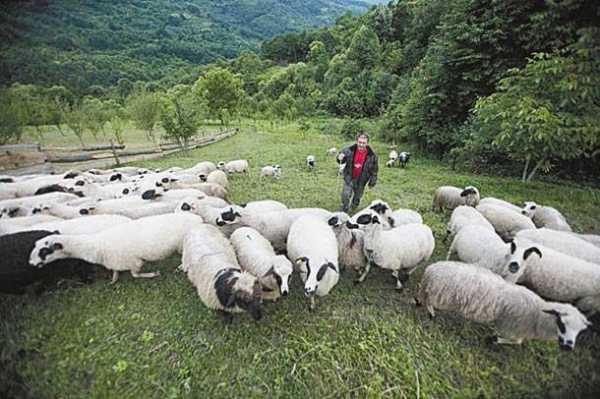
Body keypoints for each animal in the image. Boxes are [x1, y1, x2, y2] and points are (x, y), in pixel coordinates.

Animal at [29, 214, 204, 282]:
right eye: (35, 245)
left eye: (45, 251)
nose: (31, 264)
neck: (96, 244)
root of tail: (197, 218)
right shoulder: (116, 262)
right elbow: (116, 271)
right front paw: (113, 280)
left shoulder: (134, 262)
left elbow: (135, 275)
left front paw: (153, 274)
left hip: (184, 246)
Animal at [418, 260, 592, 348]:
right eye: (562, 323)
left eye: (580, 331)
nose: (568, 346)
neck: (538, 313)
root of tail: (431, 269)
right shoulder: (511, 327)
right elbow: (516, 341)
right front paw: (493, 339)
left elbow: (518, 341)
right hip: (440, 296)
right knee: (428, 301)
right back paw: (430, 313)